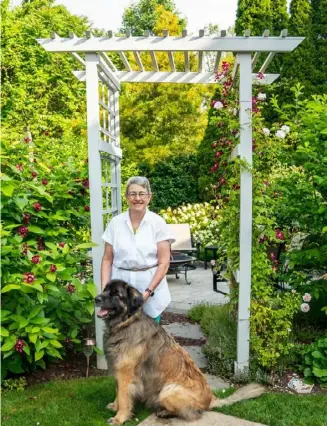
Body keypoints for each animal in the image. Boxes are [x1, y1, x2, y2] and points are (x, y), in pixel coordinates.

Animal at [95, 280, 266, 426]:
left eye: (116, 294)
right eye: (105, 289)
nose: (96, 299)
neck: (126, 323)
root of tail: (211, 399)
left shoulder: (126, 374)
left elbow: (124, 398)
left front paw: (119, 418)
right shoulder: (119, 371)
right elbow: (118, 393)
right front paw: (115, 406)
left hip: (168, 391)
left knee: (191, 413)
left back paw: (164, 412)